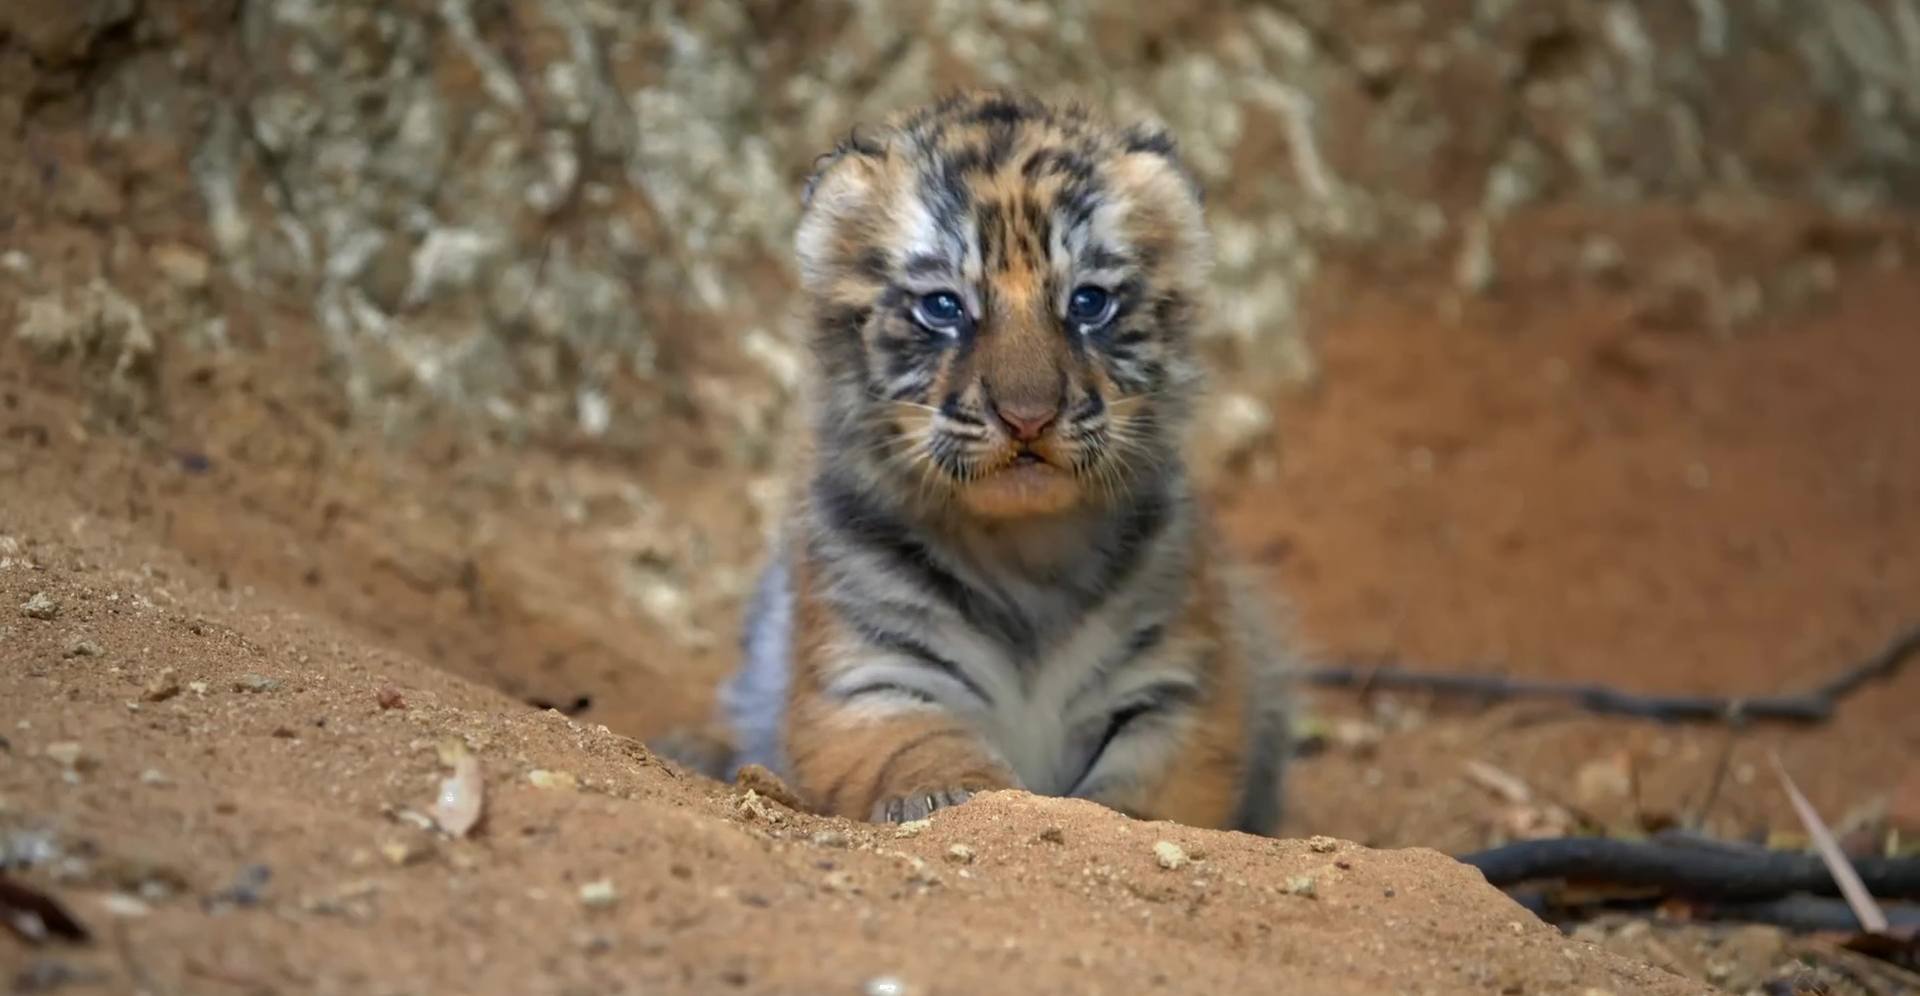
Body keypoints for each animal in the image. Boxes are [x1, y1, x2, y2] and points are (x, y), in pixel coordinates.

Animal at [657, 88, 1295, 834]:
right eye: (943, 307)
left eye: (1088, 302)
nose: (1028, 416)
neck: (1026, 554)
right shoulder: (868, 674)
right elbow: (923, 746)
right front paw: (949, 795)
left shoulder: (1177, 687)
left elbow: (1149, 795)